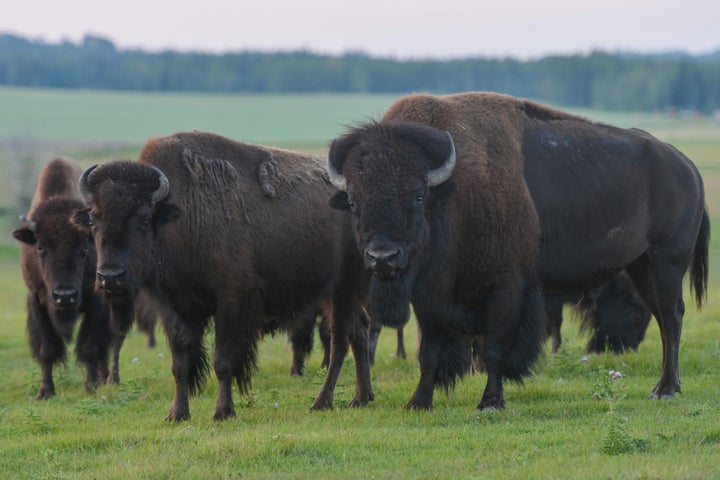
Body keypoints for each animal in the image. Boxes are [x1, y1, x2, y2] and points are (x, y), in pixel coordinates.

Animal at [13, 157, 112, 398]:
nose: (65, 296)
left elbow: (89, 346)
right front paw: (45, 392)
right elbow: (46, 349)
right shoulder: (37, 300)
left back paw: (106, 379)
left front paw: (91, 386)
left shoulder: (95, 300)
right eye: (40, 247)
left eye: (85, 245)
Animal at [74, 131, 372, 420]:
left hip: (343, 288)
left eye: (145, 219)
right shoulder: (174, 310)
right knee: (359, 331)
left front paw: (222, 412)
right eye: (93, 220)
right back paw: (361, 398)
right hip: (336, 294)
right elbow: (179, 365)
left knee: (340, 341)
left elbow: (223, 361)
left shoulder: (230, 302)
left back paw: (321, 403)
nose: (110, 276)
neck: (182, 215)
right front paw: (177, 414)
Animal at [328, 91, 708, 404]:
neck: (453, 190)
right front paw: (418, 402)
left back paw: (665, 389)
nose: (383, 257)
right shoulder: (429, 295)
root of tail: (688, 167)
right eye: (354, 201)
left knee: (672, 316)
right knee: (661, 317)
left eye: (417, 196)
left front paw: (491, 401)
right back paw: (665, 386)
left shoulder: (506, 286)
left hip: (667, 262)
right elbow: (429, 352)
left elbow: (494, 348)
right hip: (641, 266)